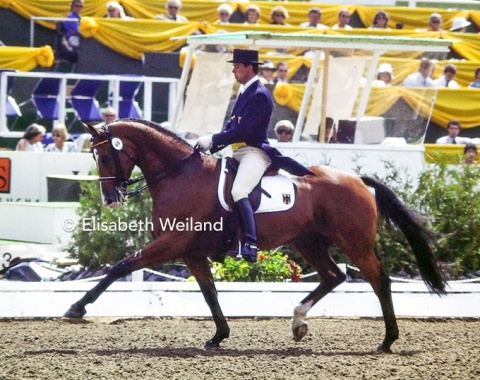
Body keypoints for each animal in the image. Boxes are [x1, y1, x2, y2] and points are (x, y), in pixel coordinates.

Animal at [64, 119, 446, 354]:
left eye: (105, 155)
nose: (110, 199)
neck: (179, 175)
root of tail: (357, 179)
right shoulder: (191, 253)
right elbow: (209, 293)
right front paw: (219, 336)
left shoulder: (171, 244)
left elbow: (120, 266)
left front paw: (76, 307)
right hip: (308, 241)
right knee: (333, 276)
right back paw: (298, 322)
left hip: (353, 242)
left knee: (378, 280)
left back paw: (388, 340)